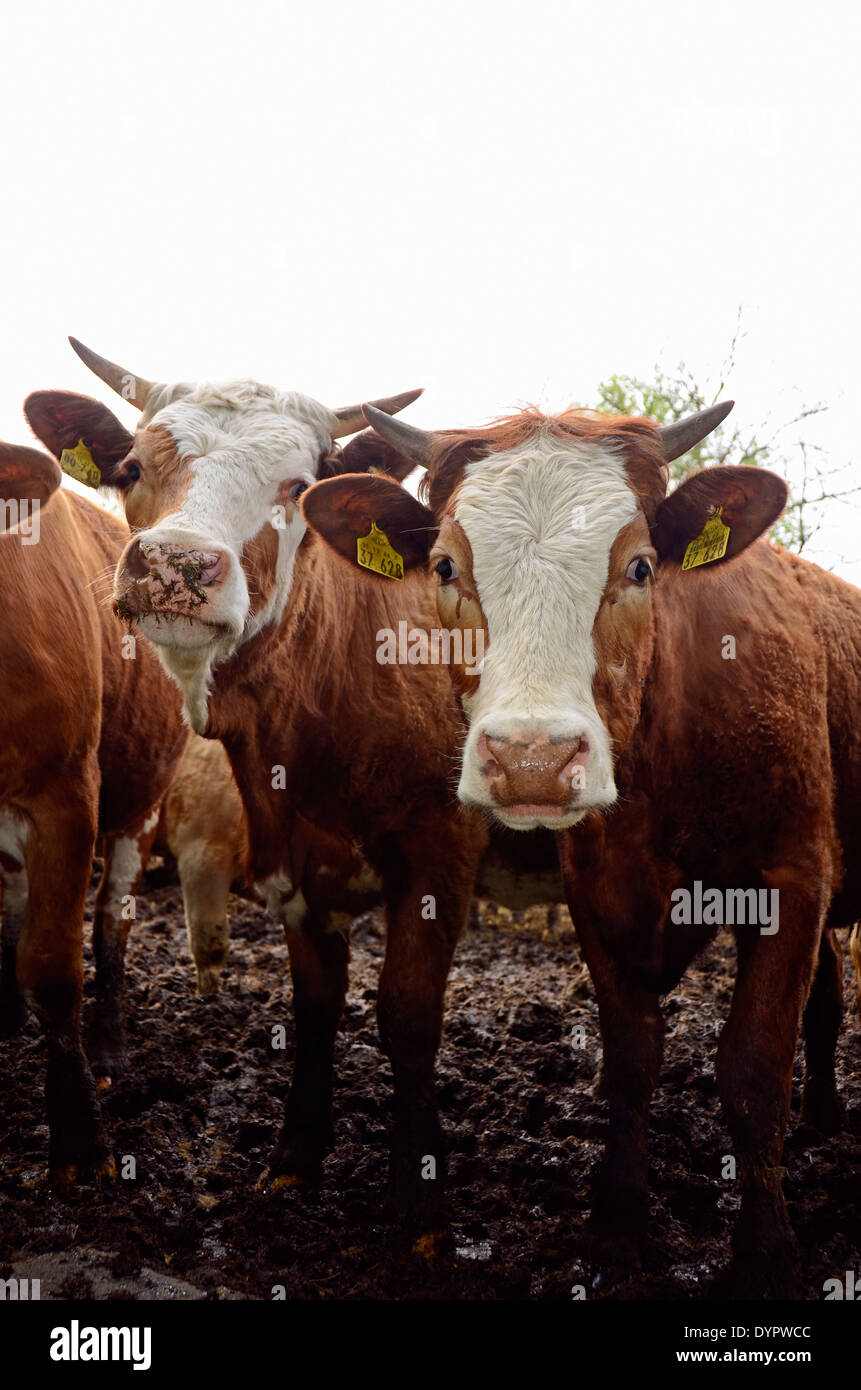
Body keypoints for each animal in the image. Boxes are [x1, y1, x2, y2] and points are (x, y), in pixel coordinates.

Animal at [25, 341, 492, 1234]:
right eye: (132, 468)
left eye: (296, 487)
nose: (176, 565)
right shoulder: (294, 861)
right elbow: (315, 1008)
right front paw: (294, 1162)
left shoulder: (439, 853)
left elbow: (409, 1014)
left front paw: (418, 1207)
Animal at [301, 397, 861, 1295]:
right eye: (445, 568)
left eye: (638, 567)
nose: (531, 757)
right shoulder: (598, 886)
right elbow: (632, 1057)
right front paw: (614, 1230)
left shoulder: (792, 876)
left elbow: (752, 1066)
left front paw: (766, 1253)